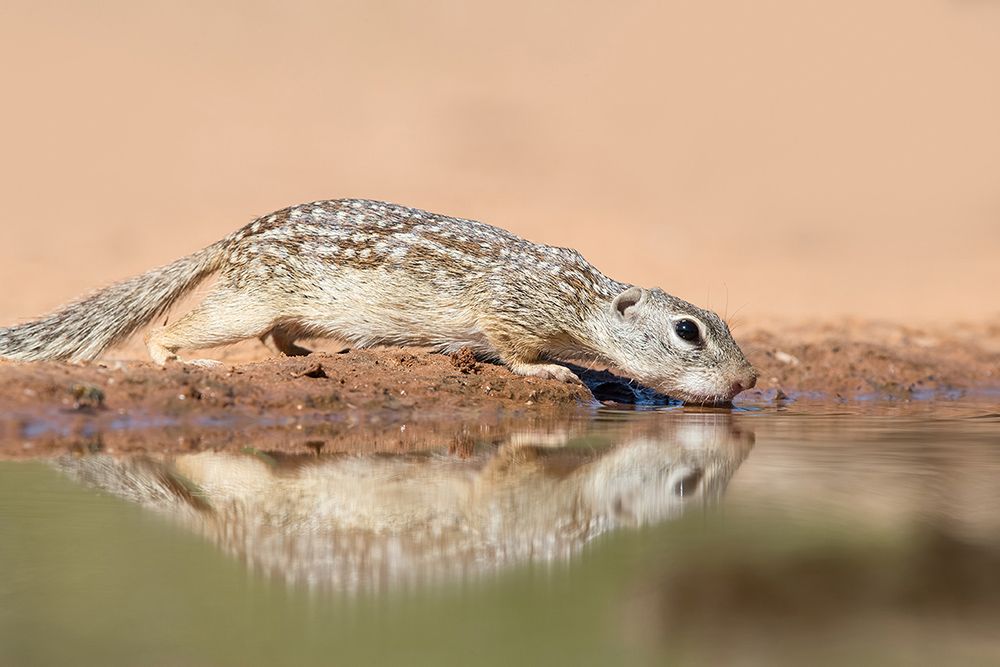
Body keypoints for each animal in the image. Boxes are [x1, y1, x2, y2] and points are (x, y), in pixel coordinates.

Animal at [0, 199, 756, 403]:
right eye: (688, 331)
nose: (751, 379)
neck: (581, 299)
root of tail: (230, 240)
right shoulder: (511, 310)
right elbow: (512, 350)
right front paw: (553, 370)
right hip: (246, 301)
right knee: (179, 330)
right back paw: (179, 361)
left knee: (277, 337)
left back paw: (305, 352)